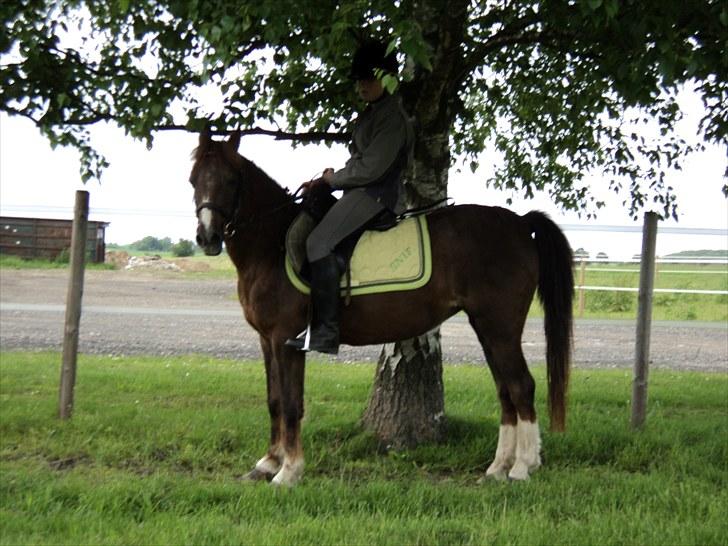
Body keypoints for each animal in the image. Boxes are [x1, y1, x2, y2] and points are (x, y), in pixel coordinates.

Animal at [189, 130, 574, 486]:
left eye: (230, 180)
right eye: (194, 180)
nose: (207, 238)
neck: (273, 246)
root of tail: (521, 223)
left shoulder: (287, 340)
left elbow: (291, 403)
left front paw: (289, 471)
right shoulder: (267, 341)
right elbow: (273, 401)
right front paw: (268, 463)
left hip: (501, 327)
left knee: (521, 386)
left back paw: (523, 466)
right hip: (486, 328)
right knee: (505, 389)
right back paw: (497, 468)